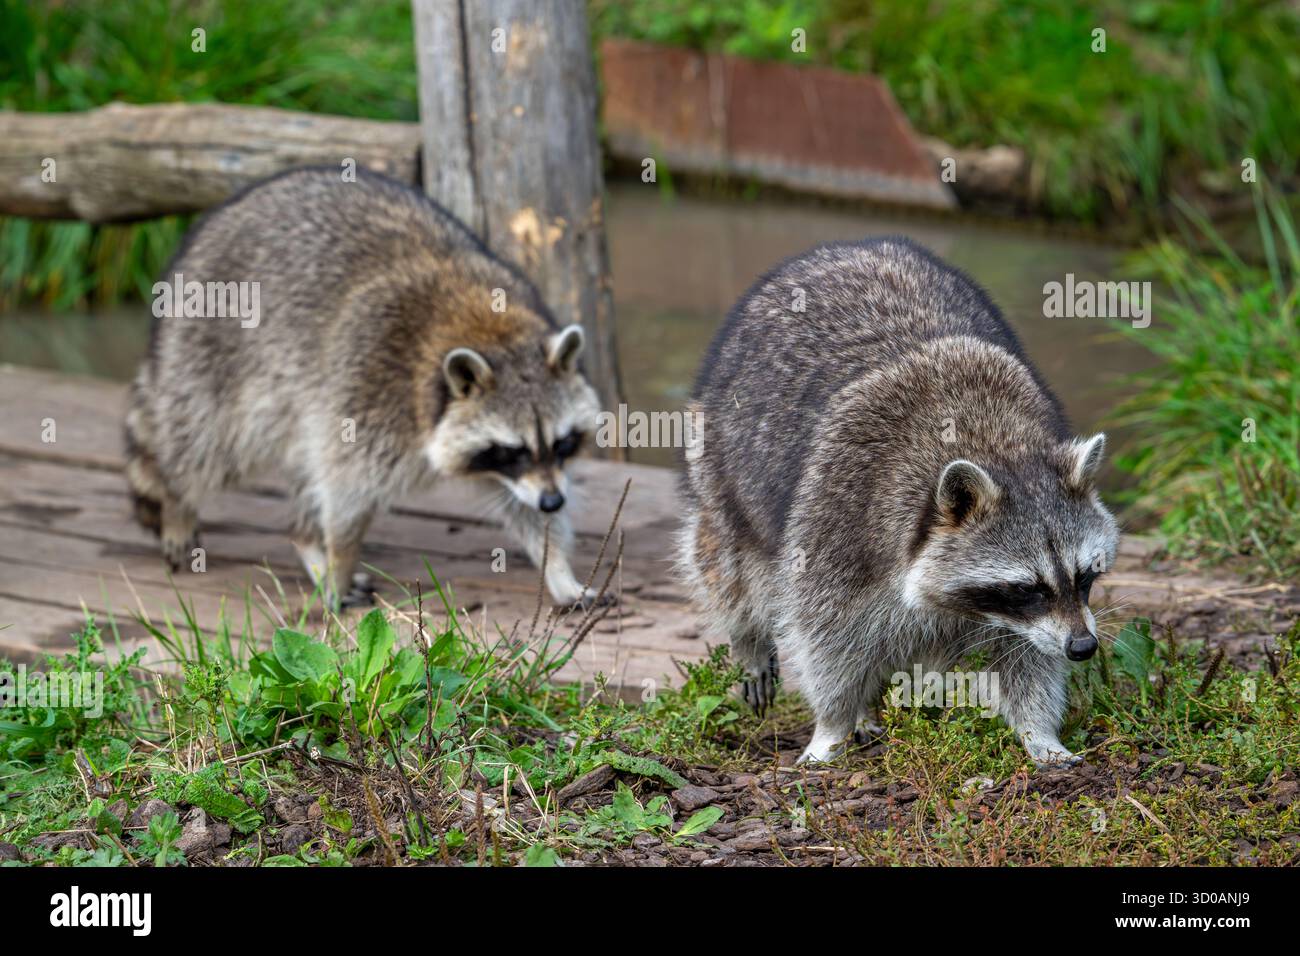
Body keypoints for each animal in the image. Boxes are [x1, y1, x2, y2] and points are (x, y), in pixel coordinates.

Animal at [126, 167, 603, 609]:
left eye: (562, 442)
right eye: (512, 450)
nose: (554, 502)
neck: (488, 328)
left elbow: (521, 505)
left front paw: (559, 569)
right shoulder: (366, 385)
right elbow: (346, 489)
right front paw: (339, 562)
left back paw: (304, 537)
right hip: (212, 350)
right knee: (202, 442)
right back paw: (178, 500)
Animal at [680, 237, 1119, 766]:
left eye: (1085, 575)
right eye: (1027, 588)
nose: (1083, 647)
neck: (995, 446)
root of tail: (846, 247)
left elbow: (1028, 657)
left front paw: (1039, 731)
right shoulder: (837, 517)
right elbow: (825, 635)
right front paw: (831, 724)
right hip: (722, 462)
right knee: (728, 566)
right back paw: (753, 644)